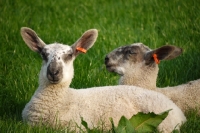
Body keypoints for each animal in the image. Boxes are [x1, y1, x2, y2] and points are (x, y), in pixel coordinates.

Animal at [20, 27, 186, 133]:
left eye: (70, 55)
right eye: (43, 55)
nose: (54, 72)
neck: (65, 98)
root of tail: (180, 113)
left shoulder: (75, 127)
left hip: (166, 123)